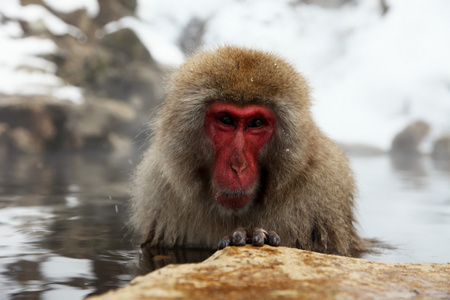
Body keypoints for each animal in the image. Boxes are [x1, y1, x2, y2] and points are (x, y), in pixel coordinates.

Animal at [130, 45, 372, 256]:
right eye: (226, 120)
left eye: (256, 123)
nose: (238, 166)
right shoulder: (159, 192)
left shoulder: (325, 191)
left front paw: (253, 234)